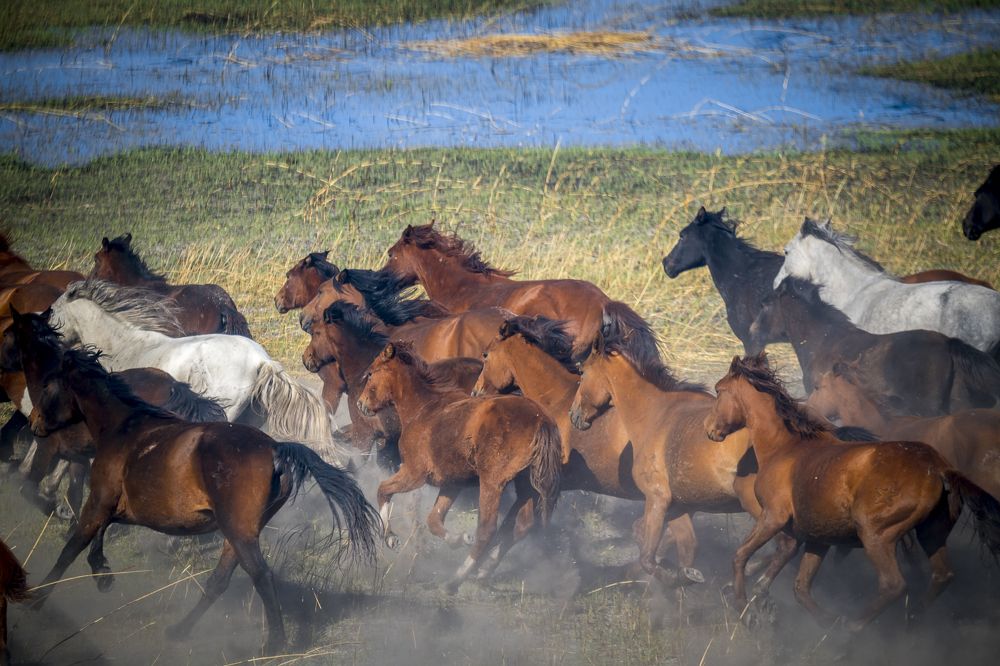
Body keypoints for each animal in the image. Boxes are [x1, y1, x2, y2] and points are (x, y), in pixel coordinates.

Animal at [26, 346, 379, 654]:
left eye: (47, 386)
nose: (34, 424)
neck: (124, 427)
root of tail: (277, 449)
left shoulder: (98, 501)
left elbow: (70, 549)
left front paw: (37, 599)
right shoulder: (119, 508)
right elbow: (97, 537)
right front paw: (101, 572)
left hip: (238, 532)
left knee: (261, 576)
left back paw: (273, 644)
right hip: (238, 534)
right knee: (219, 581)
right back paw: (180, 630)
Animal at [357, 341, 561, 593]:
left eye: (371, 373)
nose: (361, 404)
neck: (423, 408)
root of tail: (541, 420)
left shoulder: (414, 474)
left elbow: (383, 490)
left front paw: (390, 537)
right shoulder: (451, 483)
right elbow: (433, 520)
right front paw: (457, 539)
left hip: (492, 483)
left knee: (487, 529)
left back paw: (456, 579)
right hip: (527, 487)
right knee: (522, 526)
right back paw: (483, 571)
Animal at [471, 314, 699, 572]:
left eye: (486, 354)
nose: (475, 393)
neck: (558, 401)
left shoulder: (536, 486)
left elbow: (516, 528)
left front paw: (480, 571)